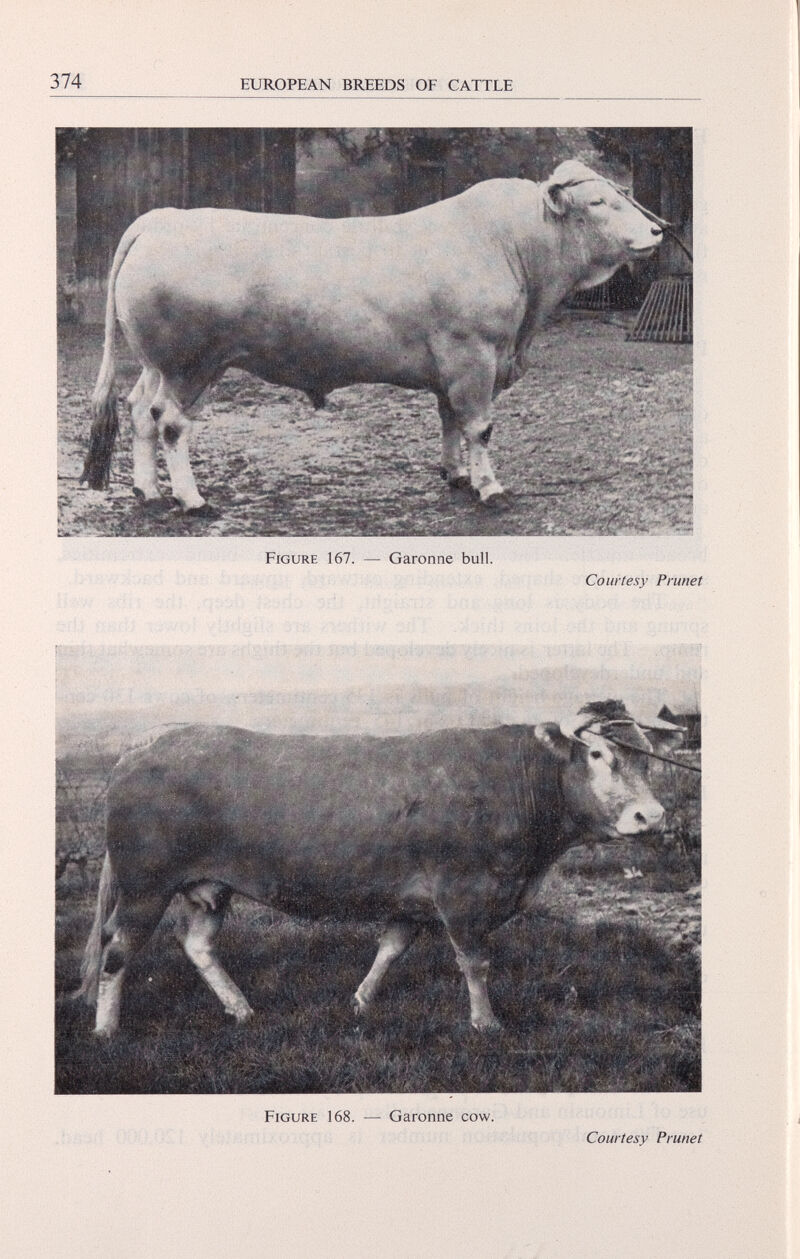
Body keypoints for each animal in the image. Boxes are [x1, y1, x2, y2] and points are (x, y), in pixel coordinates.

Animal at [75, 700, 683, 1037]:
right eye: (599, 755)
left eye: (649, 756)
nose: (650, 815)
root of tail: (146, 742)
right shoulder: (463, 895)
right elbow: (476, 962)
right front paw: (486, 1023)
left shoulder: (411, 899)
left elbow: (390, 949)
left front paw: (361, 1001)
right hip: (144, 884)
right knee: (117, 952)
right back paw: (106, 1029)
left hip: (209, 885)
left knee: (197, 944)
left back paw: (242, 1009)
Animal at [80, 160, 664, 516]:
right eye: (598, 204)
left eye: (621, 195)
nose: (658, 230)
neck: (510, 245)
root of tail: (164, 218)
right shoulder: (474, 355)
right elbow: (479, 427)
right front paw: (490, 487)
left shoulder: (452, 364)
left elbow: (449, 420)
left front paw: (455, 475)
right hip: (192, 363)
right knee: (171, 423)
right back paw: (192, 500)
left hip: (157, 362)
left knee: (140, 411)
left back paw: (148, 490)